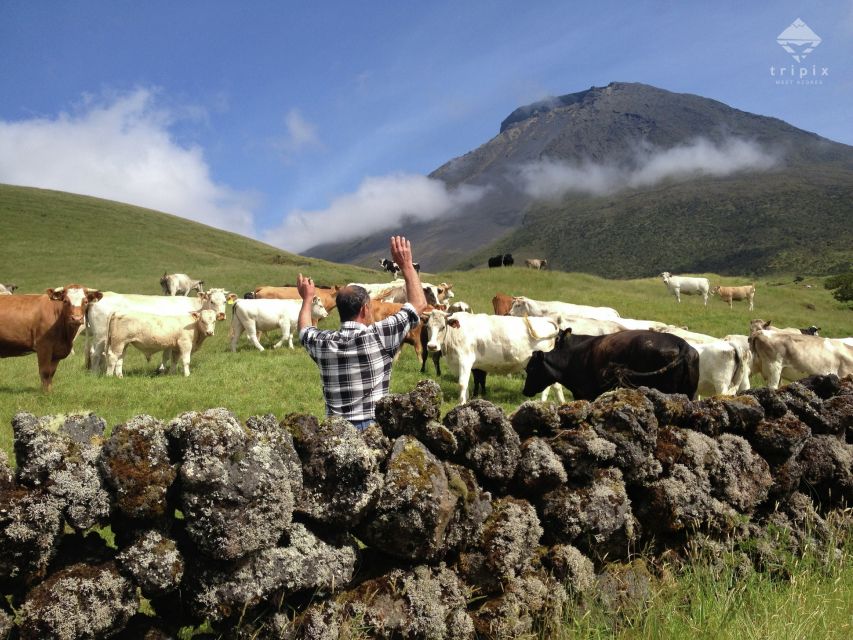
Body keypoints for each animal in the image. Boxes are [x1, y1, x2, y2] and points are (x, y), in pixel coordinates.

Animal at [85, 288, 236, 372]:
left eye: (224, 301)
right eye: (212, 301)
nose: (221, 315)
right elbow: (168, 356)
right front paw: (163, 369)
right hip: (101, 337)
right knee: (96, 354)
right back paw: (95, 373)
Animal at [422, 308, 564, 402]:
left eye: (442, 327)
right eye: (428, 326)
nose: (432, 346)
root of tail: (546, 320)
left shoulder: (465, 360)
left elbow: (462, 384)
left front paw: (460, 404)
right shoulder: (458, 363)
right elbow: (465, 386)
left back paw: (542, 402)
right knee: (557, 385)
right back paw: (562, 403)